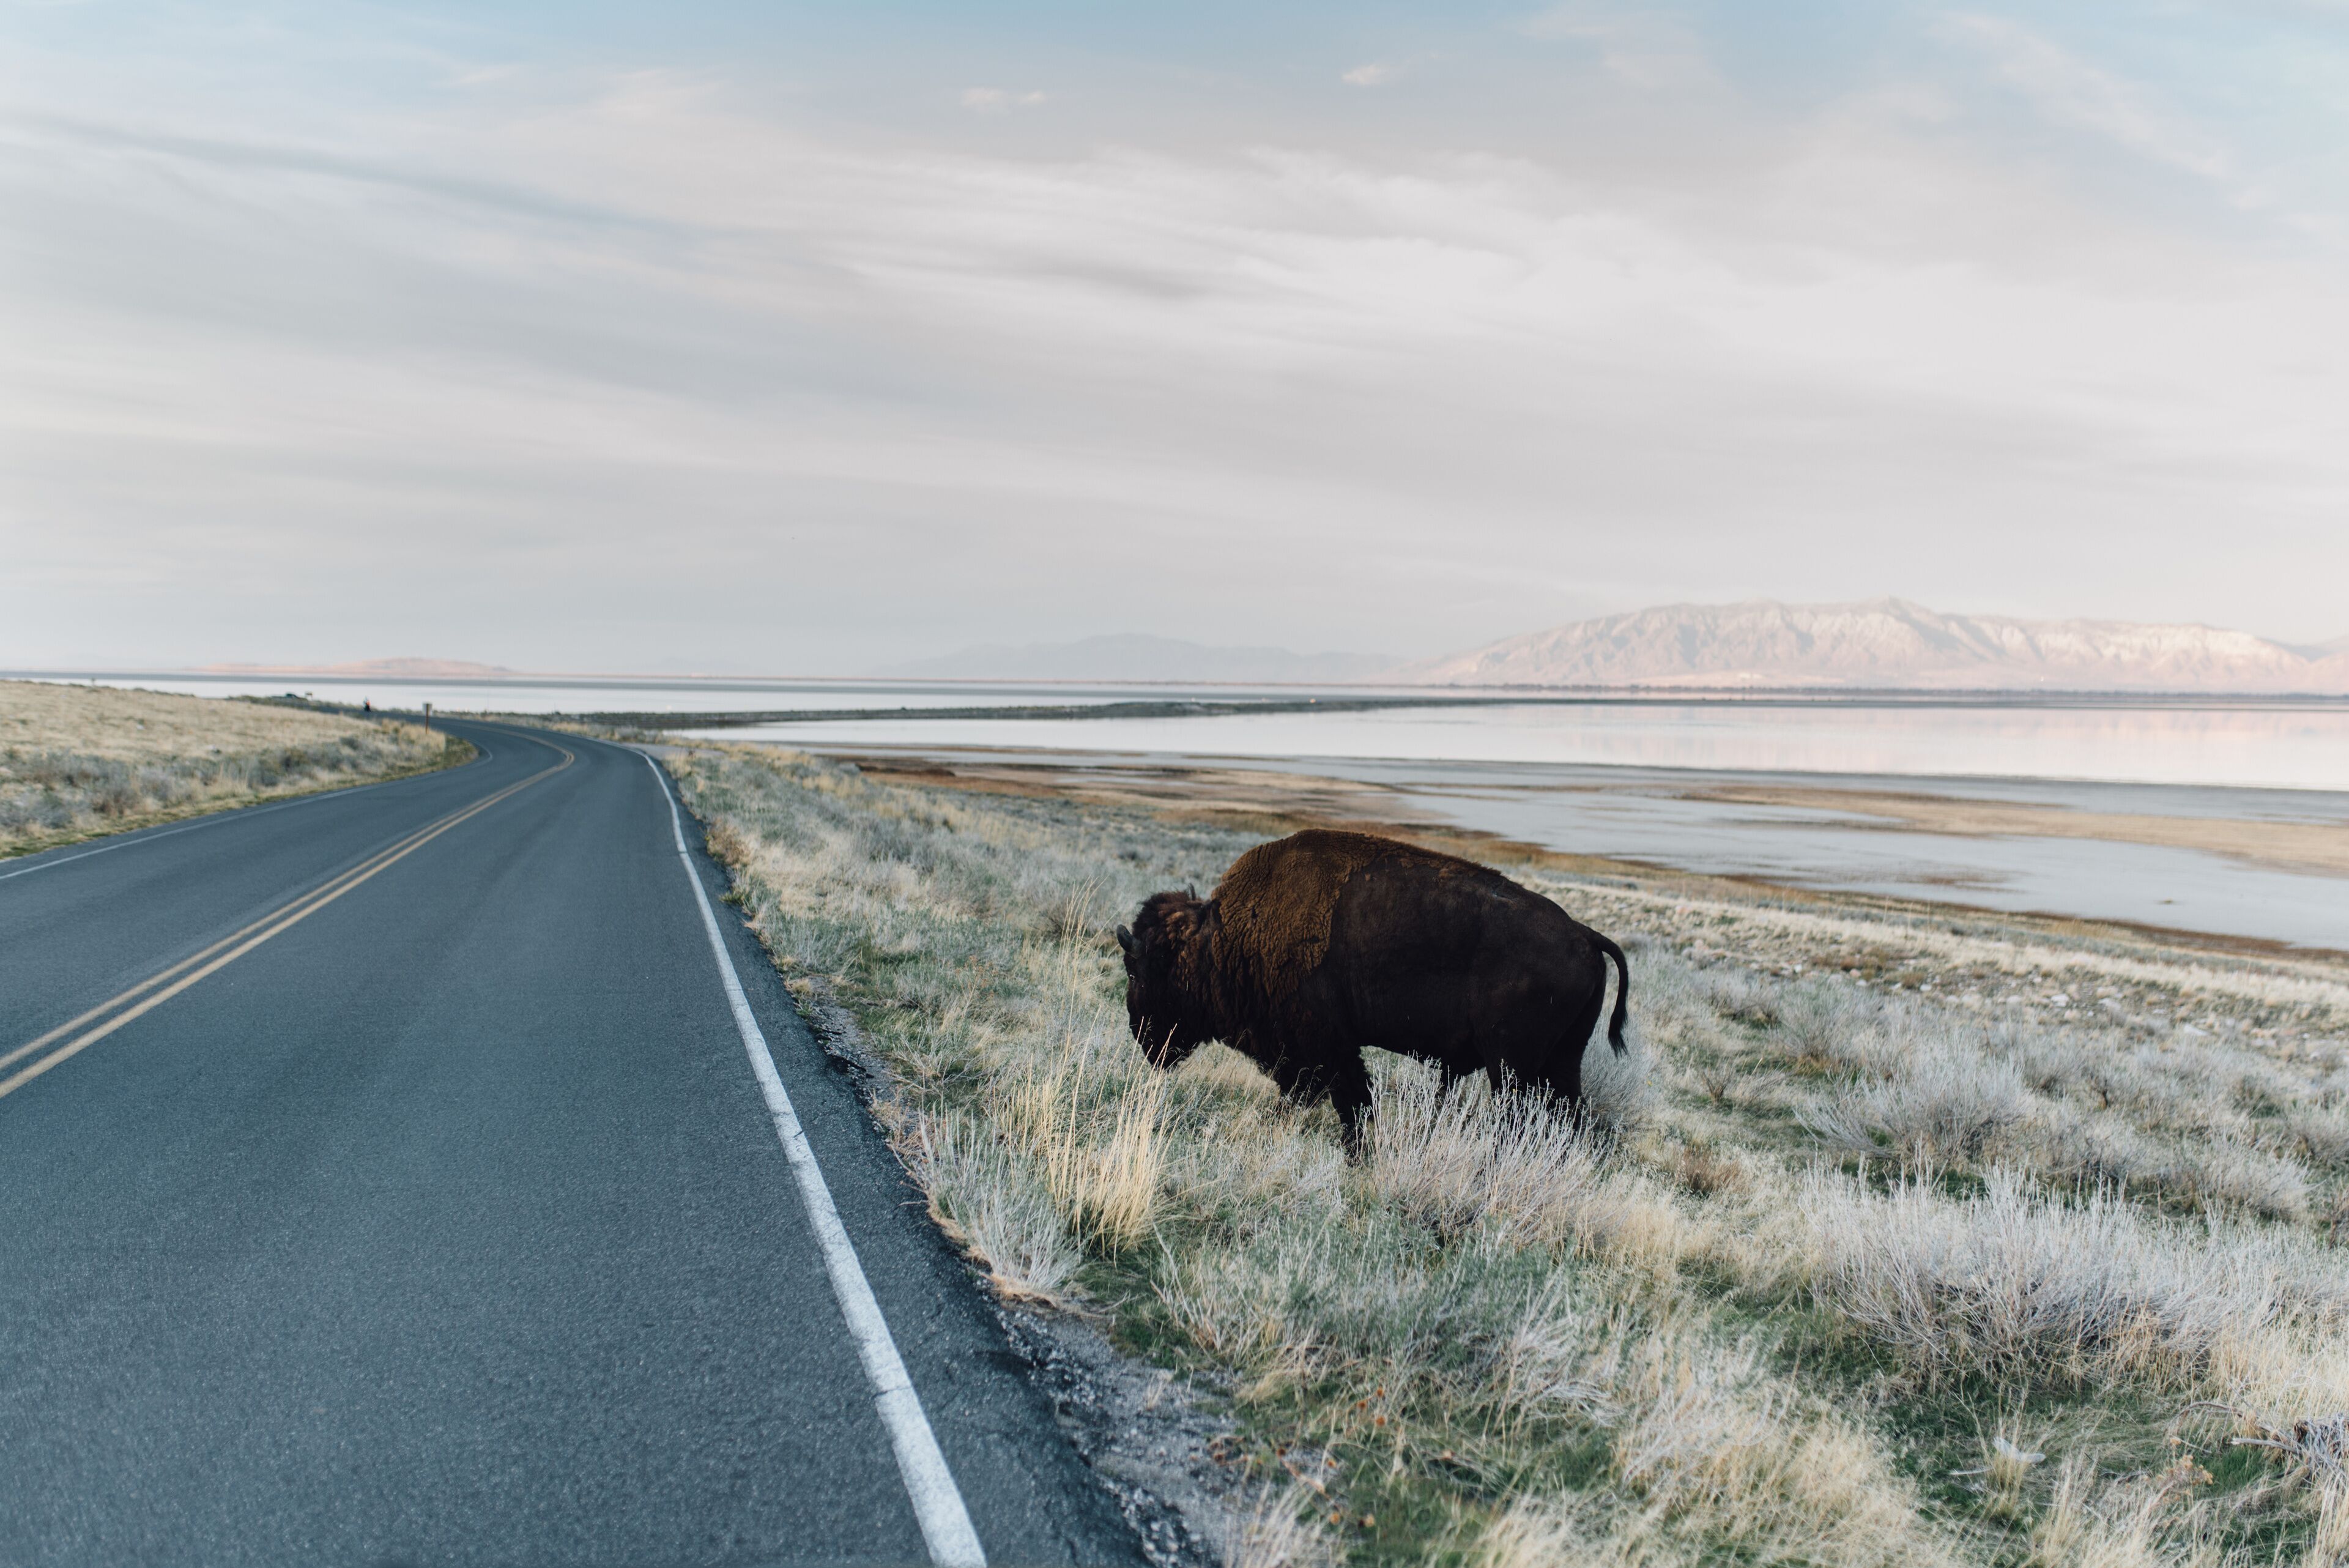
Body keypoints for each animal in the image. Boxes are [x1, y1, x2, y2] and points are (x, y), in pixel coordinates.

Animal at [1115, 828, 1630, 1146]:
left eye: (1138, 970)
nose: (1143, 1037)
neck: (1219, 937)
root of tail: (1585, 934)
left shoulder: (1326, 1047)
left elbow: (1349, 1100)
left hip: (1511, 1068)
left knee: (1519, 1118)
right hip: (1560, 1061)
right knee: (1569, 1116)